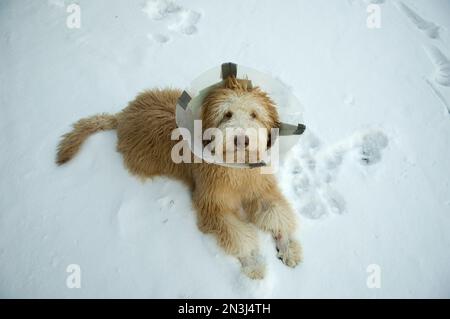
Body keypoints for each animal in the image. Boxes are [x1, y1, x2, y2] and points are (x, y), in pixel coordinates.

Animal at [56, 76, 302, 278]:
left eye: (254, 115)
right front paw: (253, 262)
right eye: (227, 114)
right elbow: (238, 235)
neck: (235, 168)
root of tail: (123, 115)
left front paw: (287, 246)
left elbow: (276, 214)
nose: (242, 139)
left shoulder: (261, 190)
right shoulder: (212, 205)